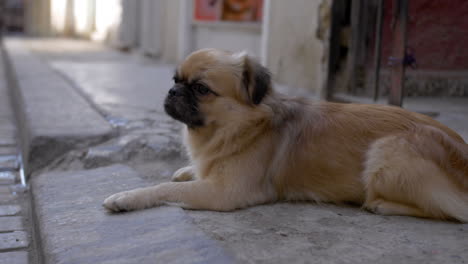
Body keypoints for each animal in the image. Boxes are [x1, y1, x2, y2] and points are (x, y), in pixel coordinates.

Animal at [104, 48, 468, 222]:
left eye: (201, 89)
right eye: (175, 79)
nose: (172, 91)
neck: (239, 128)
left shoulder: (224, 192)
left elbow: (163, 188)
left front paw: (126, 197)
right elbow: (188, 172)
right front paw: (186, 169)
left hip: (385, 152)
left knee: (453, 211)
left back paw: (382, 205)